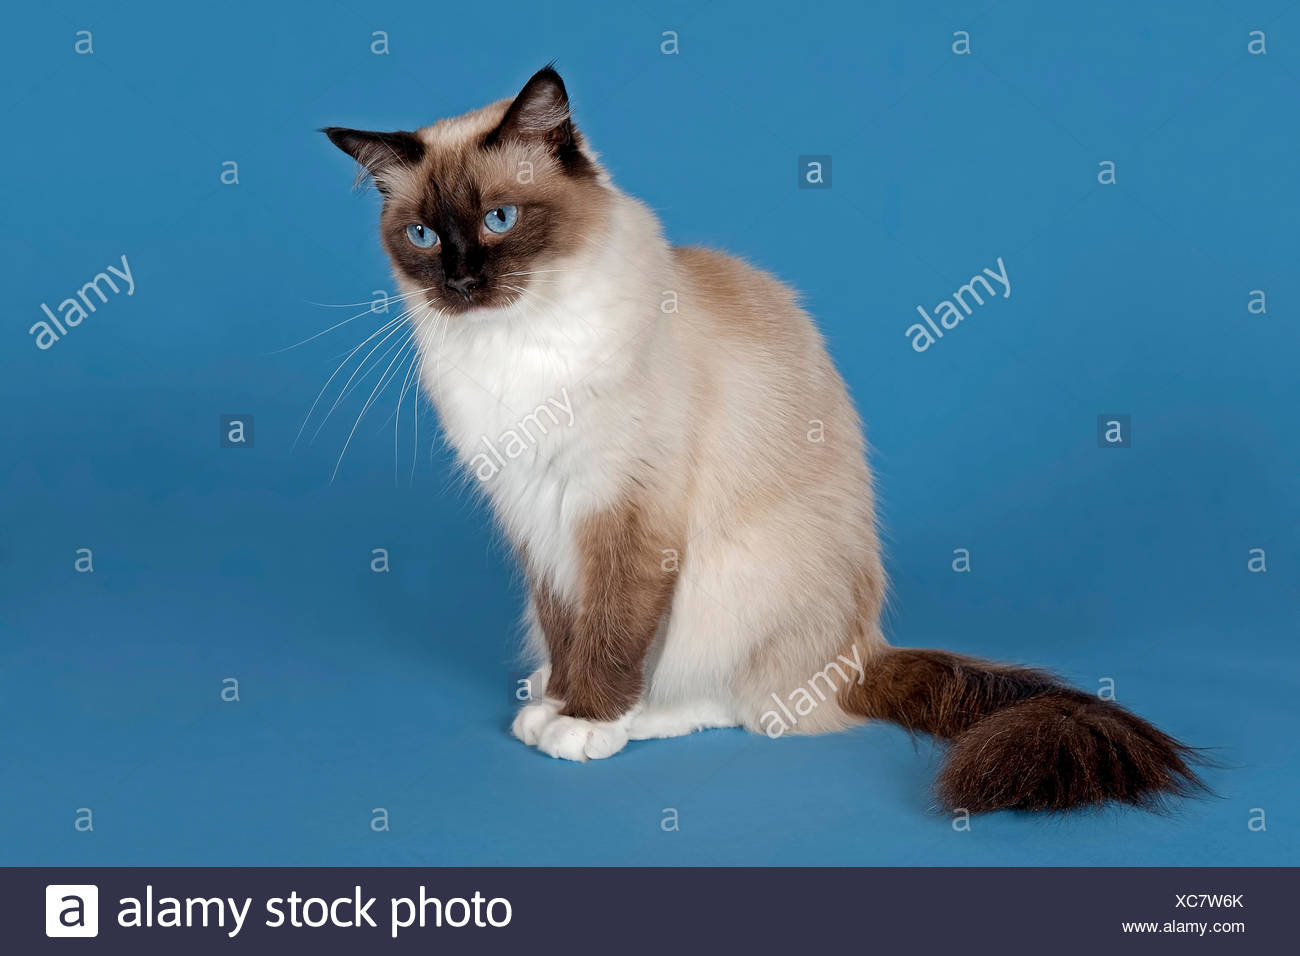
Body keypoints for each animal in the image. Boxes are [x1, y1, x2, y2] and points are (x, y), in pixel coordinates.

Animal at [322, 67, 1196, 811]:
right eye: (424, 236)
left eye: (499, 220)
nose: (461, 281)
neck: (517, 348)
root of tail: (860, 653)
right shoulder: (538, 510)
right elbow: (571, 623)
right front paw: (559, 701)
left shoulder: (623, 509)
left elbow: (612, 632)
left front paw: (586, 721)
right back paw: (546, 687)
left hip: (731, 577)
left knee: (743, 703)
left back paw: (642, 716)